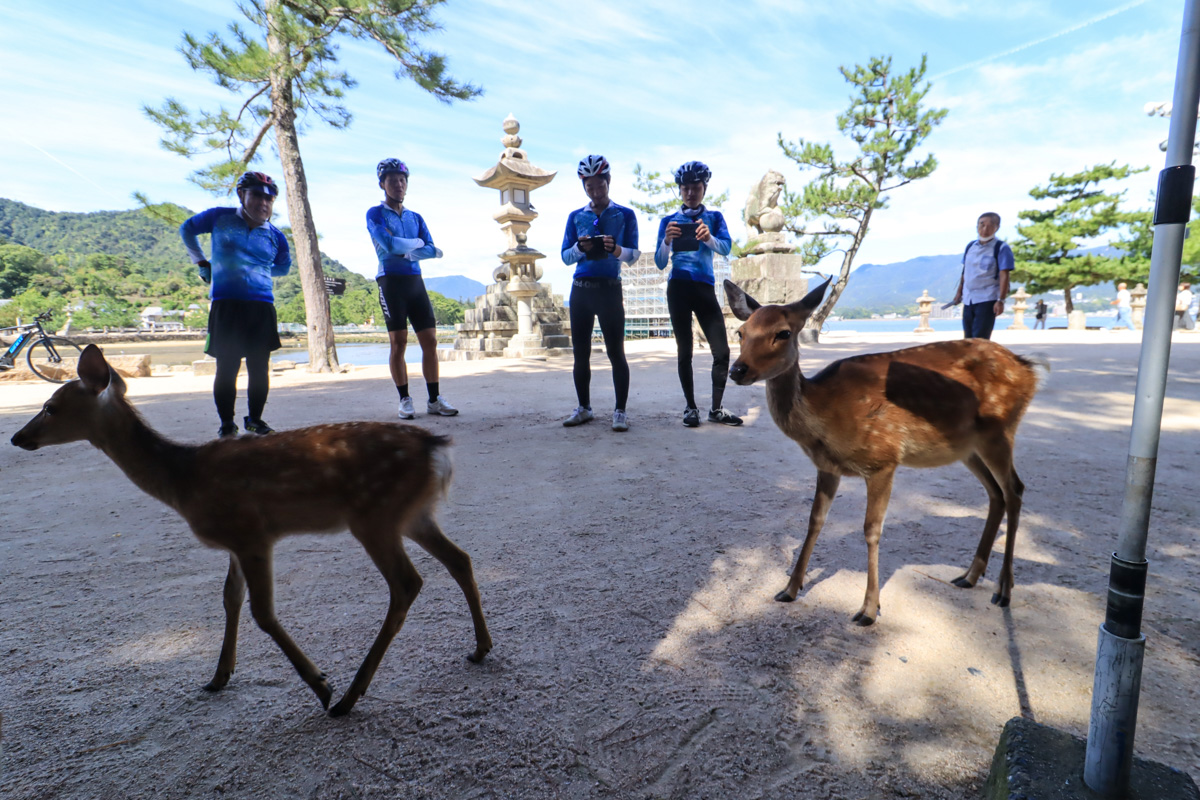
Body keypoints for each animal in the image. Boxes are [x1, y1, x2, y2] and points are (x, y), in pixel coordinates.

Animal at [14, 345, 492, 714]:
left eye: (51, 407)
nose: (18, 438)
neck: (182, 480)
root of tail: (438, 449)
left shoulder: (251, 533)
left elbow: (262, 612)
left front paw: (321, 684)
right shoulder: (234, 543)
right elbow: (230, 599)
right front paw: (218, 676)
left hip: (373, 516)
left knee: (407, 582)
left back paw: (348, 697)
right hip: (412, 515)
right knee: (459, 559)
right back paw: (480, 647)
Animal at [720, 280, 1051, 623]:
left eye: (783, 333)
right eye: (741, 332)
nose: (738, 370)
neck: (825, 416)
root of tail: (1030, 368)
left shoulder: (884, 458)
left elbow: (871, 529)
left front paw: (868, 609)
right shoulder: (827, 467)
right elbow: (814, 521)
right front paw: (789, 589)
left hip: (999, 431)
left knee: (1015, 489)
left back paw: (1004, 590)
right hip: (968, 447)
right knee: (996, 494)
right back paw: (969, 576)